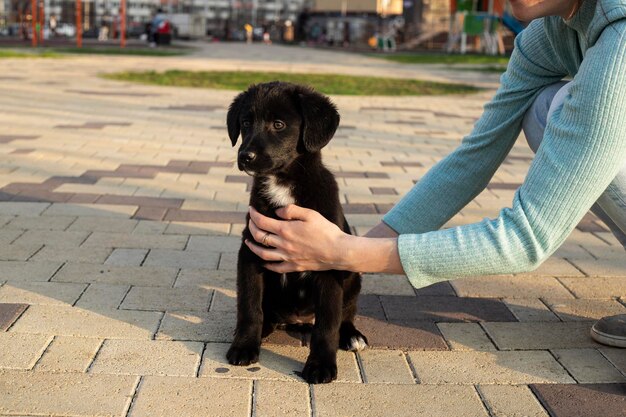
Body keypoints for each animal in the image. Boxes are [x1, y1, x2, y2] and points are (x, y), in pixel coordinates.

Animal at [224, 81, 366, 384]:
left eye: (278, 124)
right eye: (245, 123)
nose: (245, 157)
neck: (283, 184)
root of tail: (299, 319)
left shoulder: (328, 264)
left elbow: (327, 325)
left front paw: (321, 365)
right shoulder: (250, 252)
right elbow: (249, 307)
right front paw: (244, 344)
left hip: (352, 275)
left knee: (345, 314)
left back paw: (351, 335)